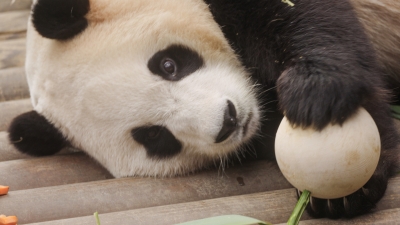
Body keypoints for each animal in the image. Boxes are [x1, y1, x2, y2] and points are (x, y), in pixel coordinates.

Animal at [6, 0, 400, 220]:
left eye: (168, 65)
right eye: (154, 137)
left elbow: (307, 19)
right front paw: (339, 196)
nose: (227, 121)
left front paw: (316, 94)